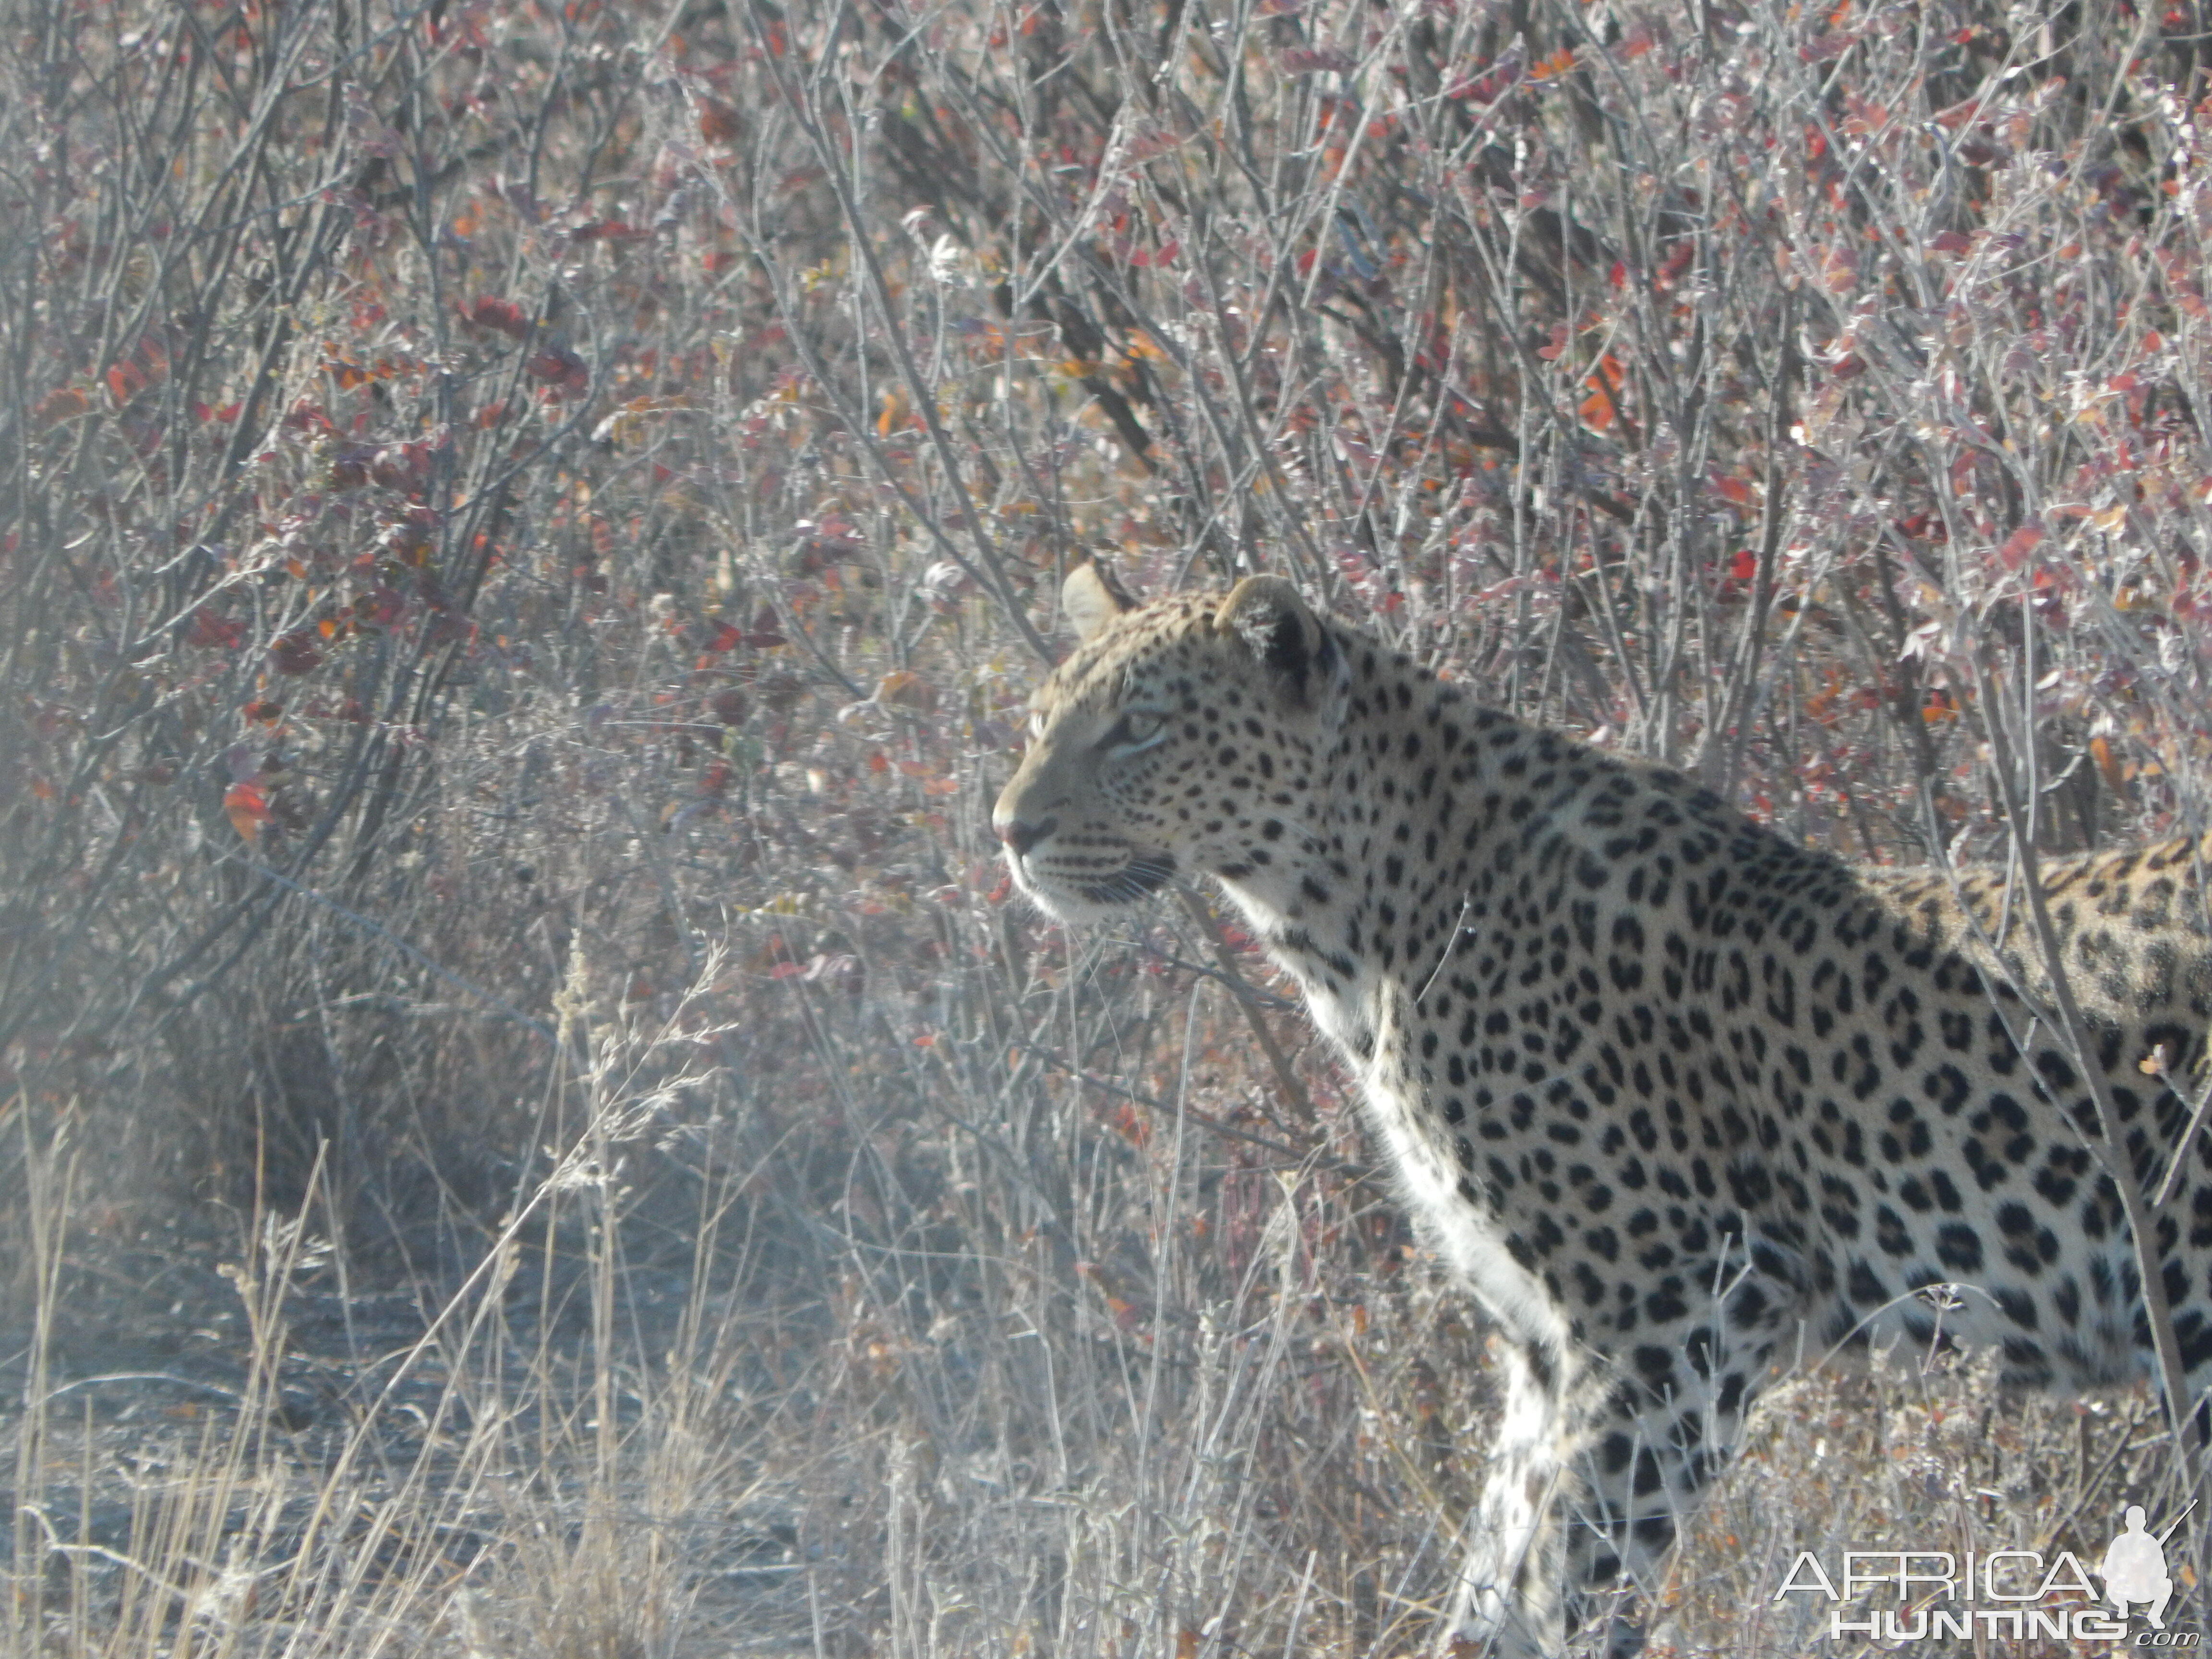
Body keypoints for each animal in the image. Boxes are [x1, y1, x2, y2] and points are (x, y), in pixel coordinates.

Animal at [995, 566, 2212, 1654]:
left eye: (1139, 729)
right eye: (1044, 720)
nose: (1009, 829)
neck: (1348, 930)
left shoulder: (1674, 1309)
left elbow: (1567, 1571)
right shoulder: (1542, 1340)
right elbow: (1495, 1570)